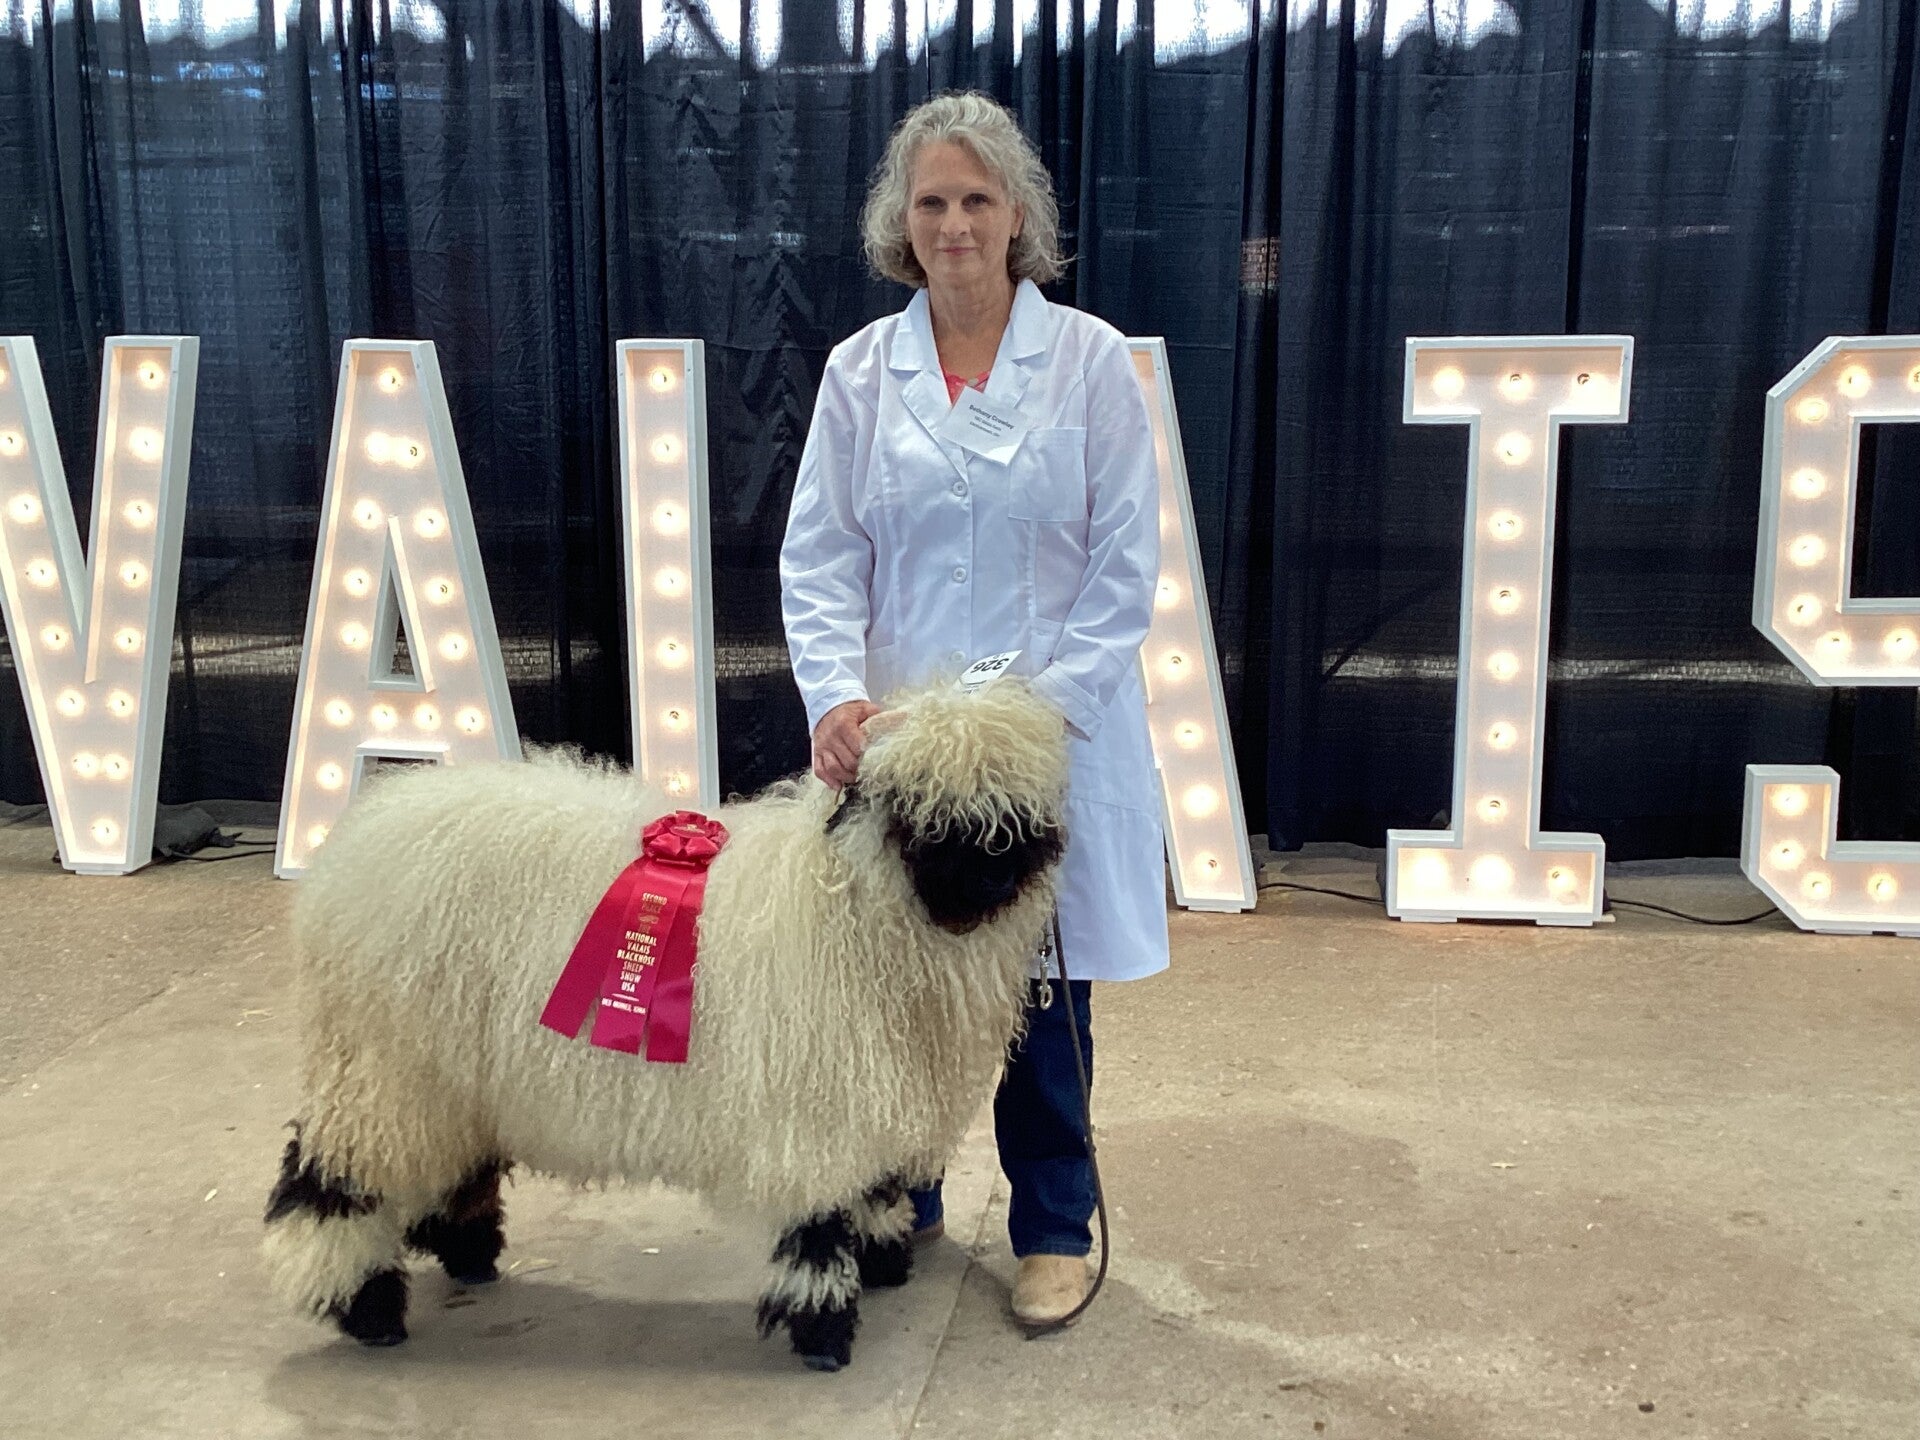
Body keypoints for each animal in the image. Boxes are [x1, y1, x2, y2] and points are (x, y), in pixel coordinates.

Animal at [261, 679, 1069, 1371]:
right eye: (918, 807)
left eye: (1017, 816)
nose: (993, 877)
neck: (848, 903)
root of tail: (358, 837)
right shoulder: (811, 1106)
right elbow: (816, 1222)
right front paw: (823, 1330)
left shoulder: (872, 1088)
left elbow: (871, 1190)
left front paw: (884, 1261)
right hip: (381, 1064)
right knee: (331, 1179)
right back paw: (365, 1310)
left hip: (452, 1069)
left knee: (455, 1161)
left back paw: (467, 1256)